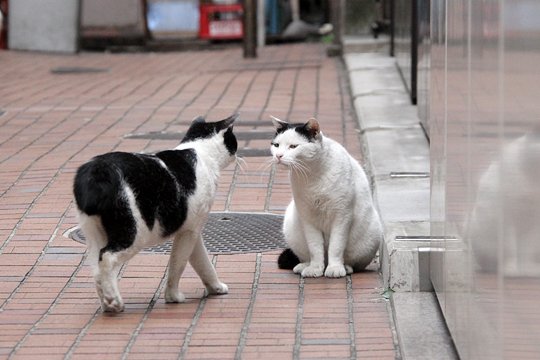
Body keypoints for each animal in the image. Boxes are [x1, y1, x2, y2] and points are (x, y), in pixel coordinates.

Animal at [73, 113, 237, 312]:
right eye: (233, 140)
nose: (237, 154)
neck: (199, 151)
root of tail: (98, 171)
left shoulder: (191, 229)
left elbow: (202, 262)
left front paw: (215, 287)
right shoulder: (189, 232)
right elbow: (178, 264)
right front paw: (173, 296)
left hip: (95, 234)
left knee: (97, 269)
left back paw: (107, 303)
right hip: (134, 232)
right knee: (107, 258)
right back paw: (114, 301)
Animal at [270, 116, 384, 278]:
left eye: (293, 146)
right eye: (276, 145)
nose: (278, 156)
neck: (312, 176)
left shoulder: (342, 216)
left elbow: (336, 247)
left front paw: (335, 268)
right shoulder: (307, 218)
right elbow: (315, 248)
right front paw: (315, 268)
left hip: (370, 237)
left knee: (353, 263)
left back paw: (345, 267)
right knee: (308, 256)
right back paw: (304, 266)